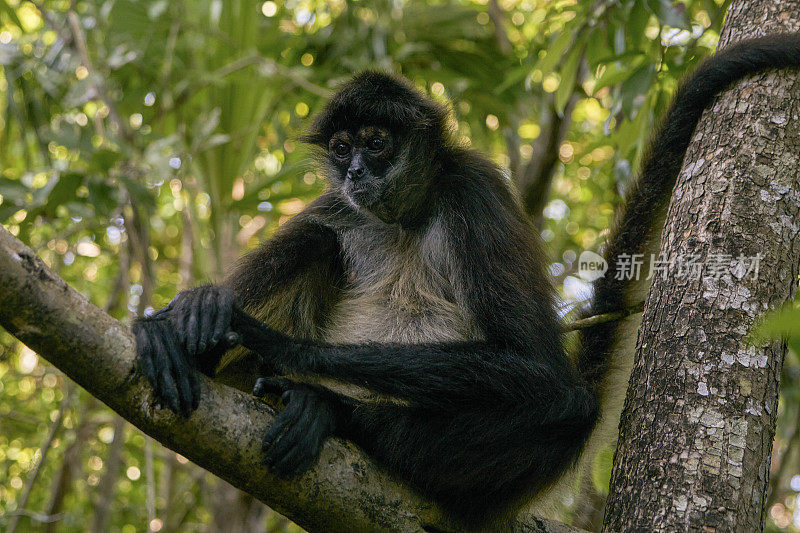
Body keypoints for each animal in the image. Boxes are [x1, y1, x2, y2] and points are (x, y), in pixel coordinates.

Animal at [133, 35, 800, 528]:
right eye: (343, 146)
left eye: (376, 142)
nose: (354, 170)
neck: (407, 213)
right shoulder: (338, 204)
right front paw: (178, 322)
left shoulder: (473, 191)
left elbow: (539, 372)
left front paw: (282, 347)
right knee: (318, 242)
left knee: (568, 406)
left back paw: (334, 412)